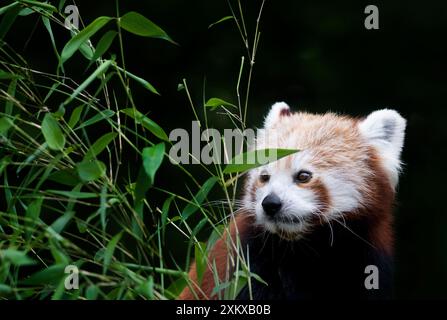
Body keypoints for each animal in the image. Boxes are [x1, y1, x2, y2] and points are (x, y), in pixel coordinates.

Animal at [178, 102, 406, 300]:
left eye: (303, 176)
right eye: (264, 177)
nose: (270, 203)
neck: (304, 251)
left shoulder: (370, 263)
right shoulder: (243, 263)